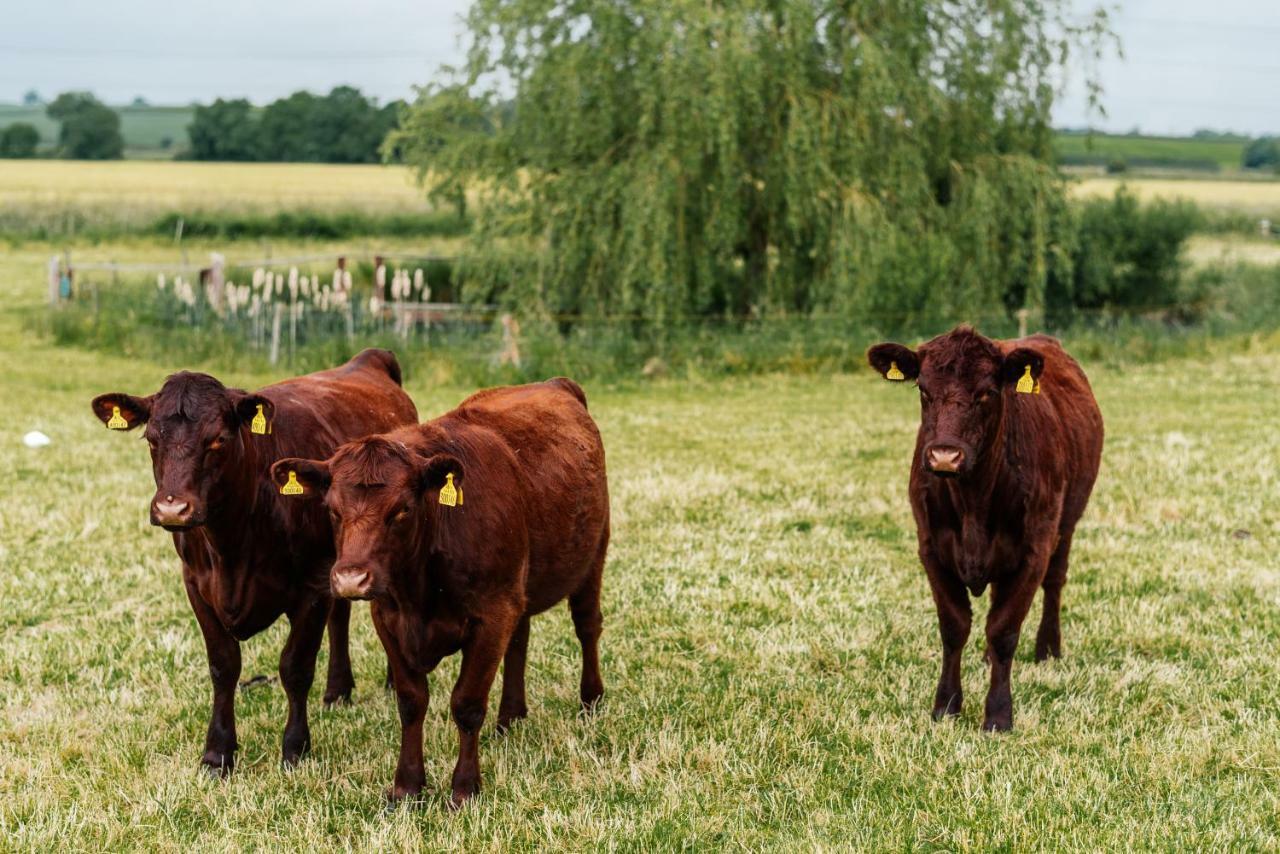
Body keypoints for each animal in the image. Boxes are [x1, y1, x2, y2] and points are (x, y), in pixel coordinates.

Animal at [91, 348, 419, 773]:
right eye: (151, 438)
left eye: (218, 439)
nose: (173, 509)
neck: (232, 544)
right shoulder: (196, 584)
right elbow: (224, 665)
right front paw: (217, 752)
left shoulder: (312, 587)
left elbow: (295, 667)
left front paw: (295, 747)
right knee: (341, 617)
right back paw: (337, 690)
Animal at [270, 378, 609, 809]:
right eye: (332, 510)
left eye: (401, 509)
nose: (350, 579)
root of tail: (553, 384)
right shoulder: (389, 617)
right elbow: (411, 701)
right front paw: (407, 785)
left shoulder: (492, 615)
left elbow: (467, 703)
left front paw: (464, 788)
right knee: (520, 639)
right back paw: (510, 717)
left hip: (593, 556)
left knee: (587, 626)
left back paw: (591, 700)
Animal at [865, 330, 1105, 732]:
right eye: (923, 390)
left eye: (987, 393)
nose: (945, 456)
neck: (972, 500)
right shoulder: (931, 549)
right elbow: (955, 626)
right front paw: (946, 705)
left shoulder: (1034, 550)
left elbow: (1004, 630)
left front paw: (998, 714)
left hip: (1068, 521)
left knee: (1054, 582)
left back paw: (1048, 649)